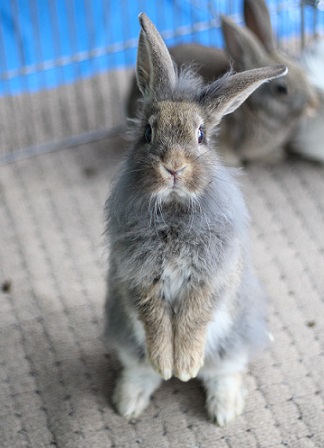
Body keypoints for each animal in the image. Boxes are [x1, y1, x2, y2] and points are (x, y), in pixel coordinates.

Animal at [103, 10, 286, 426]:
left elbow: (191, 320)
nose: (174, 167)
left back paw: (224, 411)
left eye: (201, 134)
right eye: (148, 131)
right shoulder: (139, 280)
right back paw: (129, 401)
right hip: (125, 335)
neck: (173, 210)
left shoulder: (209, 280)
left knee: (224, 371)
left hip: (232, 340)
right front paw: (166, 364)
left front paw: (184, 367)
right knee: (139, 367)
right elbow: (155, 320)